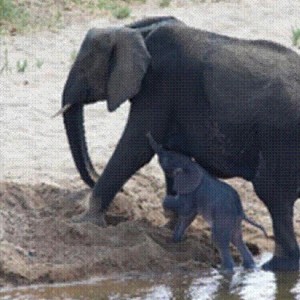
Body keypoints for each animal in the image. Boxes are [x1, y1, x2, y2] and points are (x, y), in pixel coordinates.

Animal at [148, 133, 268, 270]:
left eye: (166, 158)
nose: (148, 134)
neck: (191, 165)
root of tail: (241, 210)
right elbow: (188, 216)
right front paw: (175, 240)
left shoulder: (192, 190)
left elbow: (185, 209)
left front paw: (167, 210)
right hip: (234, 219)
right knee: (237, 239)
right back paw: (250, 267)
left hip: (224, 216)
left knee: (219, 240)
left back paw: (225, 270)